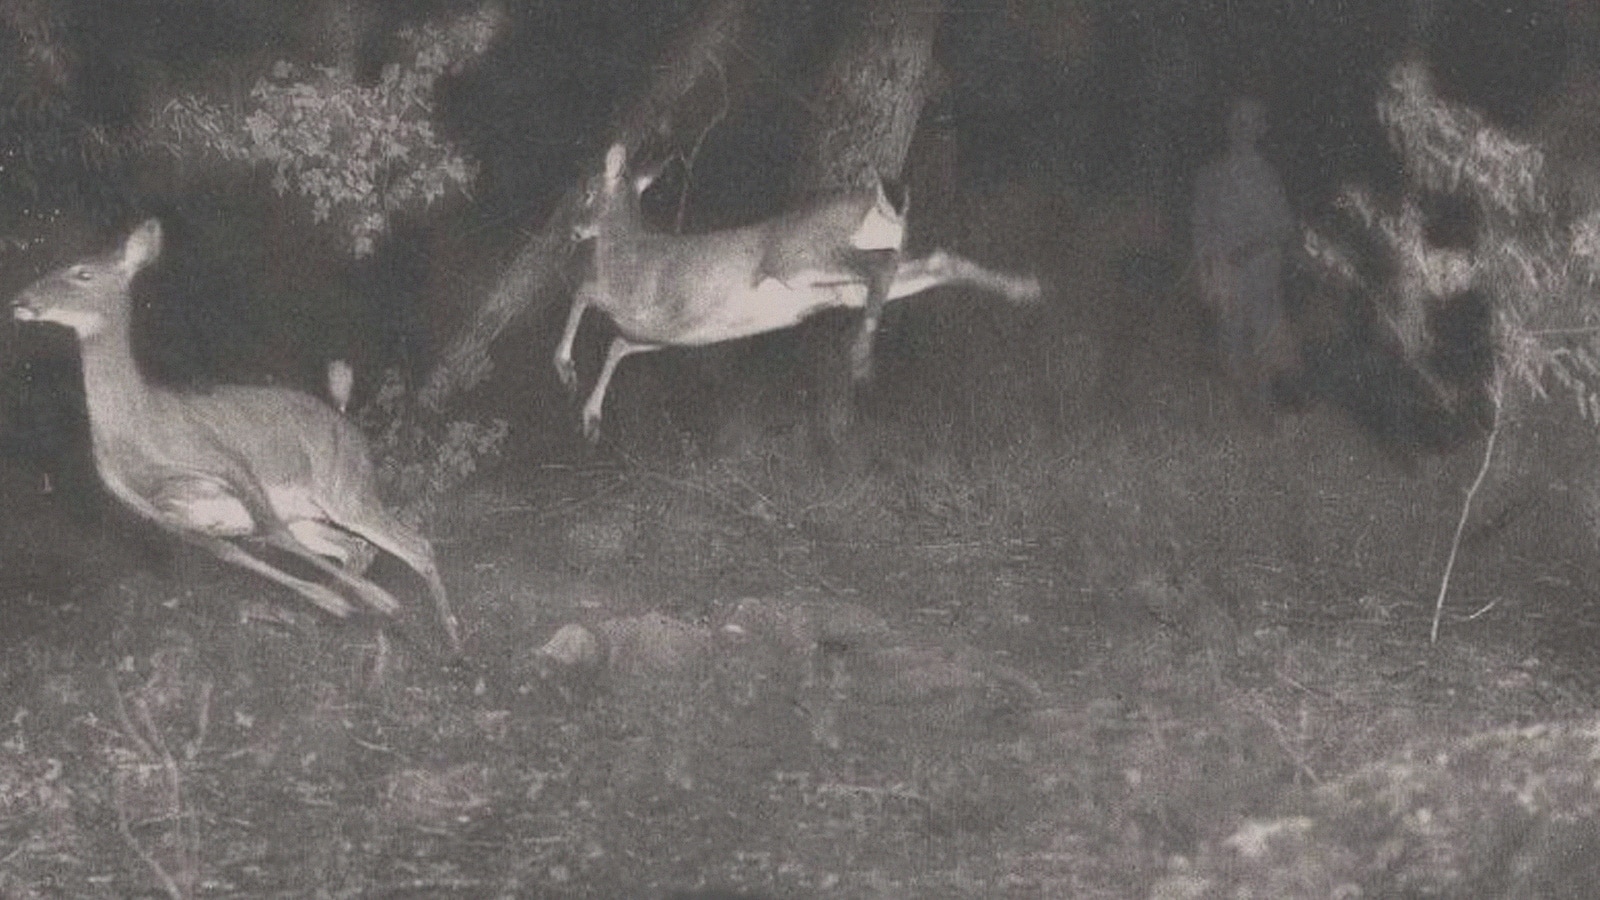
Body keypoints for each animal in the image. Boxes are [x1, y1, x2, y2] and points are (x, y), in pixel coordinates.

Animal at [10, 220, 461, 653]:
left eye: (82, 273)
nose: (19, 301)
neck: (136, 429)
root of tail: (347, 423)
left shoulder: (224, 458)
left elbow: (271, 533)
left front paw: (379, 599)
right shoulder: (155, 511)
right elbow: (233, 553)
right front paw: (335, 601)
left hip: (345, 487)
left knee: (415, 544)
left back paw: (450, 638)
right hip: (312, 511)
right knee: (356, 547)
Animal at [556, 143, 1044, 443]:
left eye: (587, 191)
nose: (572, 230)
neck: (626, 249)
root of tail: (876, 202)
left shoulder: (644, 304)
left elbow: (582, 294)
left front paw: (564, 369)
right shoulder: (667, 332)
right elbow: (617, 344)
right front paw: (590, 418)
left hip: (799, 257)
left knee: (883, 261)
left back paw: (861, 353)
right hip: (838, 287)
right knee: (932, 261)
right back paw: (1024, 288)